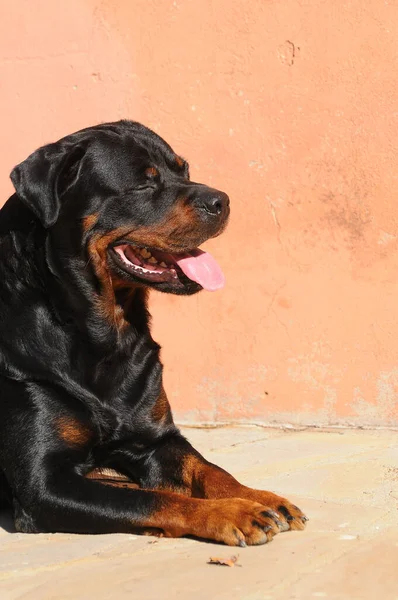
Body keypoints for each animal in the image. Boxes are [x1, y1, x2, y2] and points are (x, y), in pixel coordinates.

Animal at [0, 120, 308, 544]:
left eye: (185, 170)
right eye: (144, 184)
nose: (222, 200)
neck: (102, 332)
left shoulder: (158, 438)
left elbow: (210, 469)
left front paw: (258, 496)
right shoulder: (42, 484)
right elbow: (153, 500)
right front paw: (233, 511)